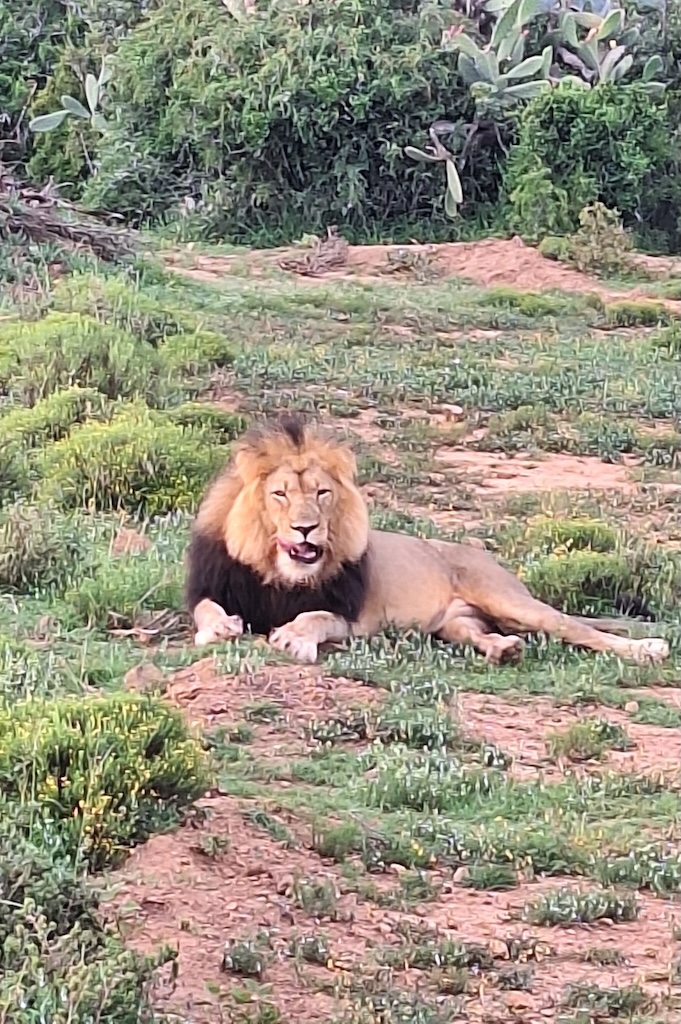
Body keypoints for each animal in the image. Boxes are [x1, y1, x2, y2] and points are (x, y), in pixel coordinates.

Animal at [185, 415, 670, 667]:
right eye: (280, 494)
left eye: (322, 493)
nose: (306, 528)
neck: (282, 573)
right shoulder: (214, 587)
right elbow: (205, 609)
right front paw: (220, 628)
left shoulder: (353, 617)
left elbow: (315, 616)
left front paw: (292, 637)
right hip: (453, 623)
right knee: (476, 633)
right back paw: (503, 649)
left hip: (509, 600)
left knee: (577, 628)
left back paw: (647, 649)